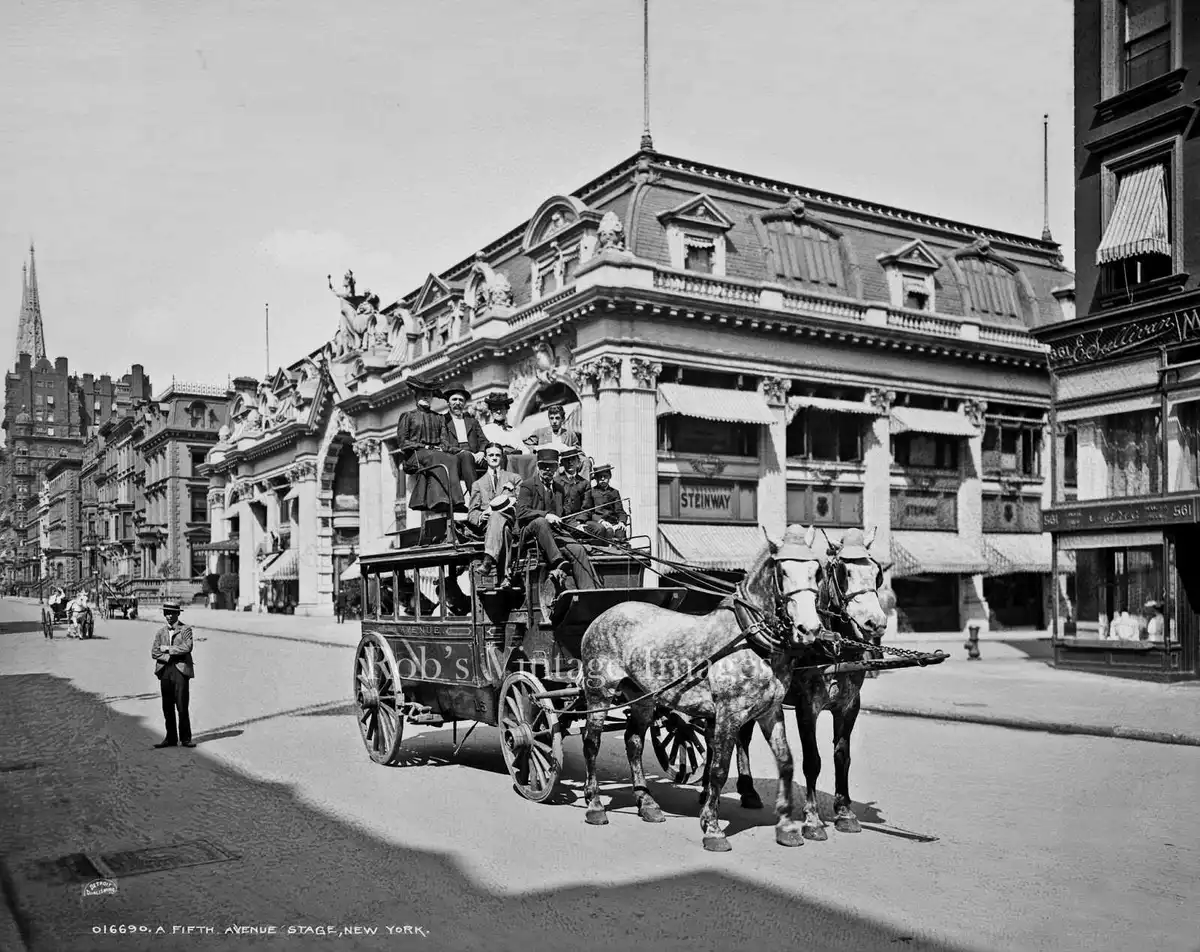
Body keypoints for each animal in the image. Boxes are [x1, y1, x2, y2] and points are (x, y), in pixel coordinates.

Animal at [578, 523, 825, 849]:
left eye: (816, 571)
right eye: (783, 571)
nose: (809, 629)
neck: (750, 639)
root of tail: (605, 614)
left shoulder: (770, 711)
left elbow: (786, 762)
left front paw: (786, 826)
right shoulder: (728, 714)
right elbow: (719, 769)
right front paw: (712, 827)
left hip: (642, 696)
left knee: (633, 742)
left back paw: (647, 803)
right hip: (600, 691)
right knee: (591, 742)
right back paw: (594, 804)